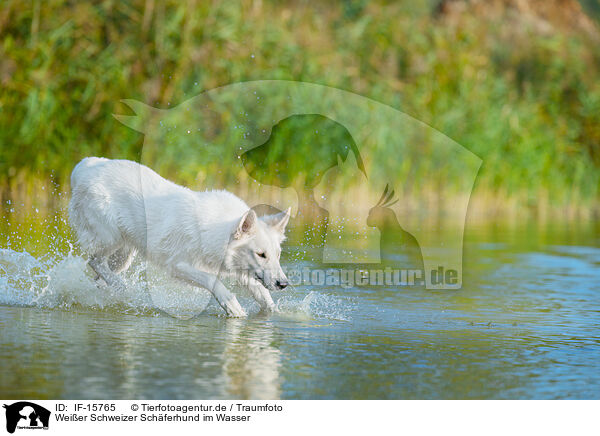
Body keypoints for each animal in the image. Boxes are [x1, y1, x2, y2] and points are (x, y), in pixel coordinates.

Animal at [68, 157, 290, 316]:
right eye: (261, 254)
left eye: (277, 255)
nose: (284, 284)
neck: (215, 231)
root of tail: (85, 166)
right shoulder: (178, 267)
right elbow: (212, 281)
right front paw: (232, 306)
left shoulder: (239, 269)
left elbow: (262, 293)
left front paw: (277, 313)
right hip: (110, 239)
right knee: (94, 261)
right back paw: (121, 287)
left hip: (123, 256)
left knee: (99, 274)